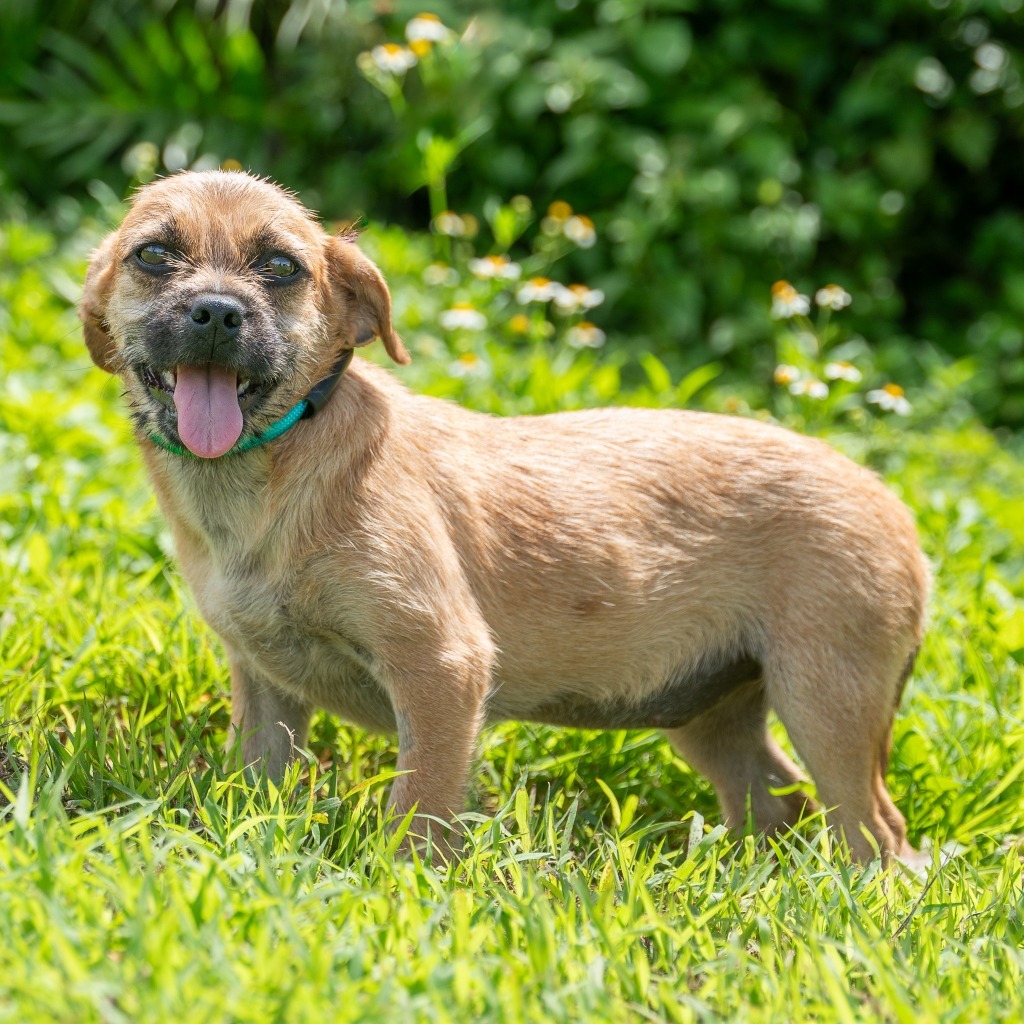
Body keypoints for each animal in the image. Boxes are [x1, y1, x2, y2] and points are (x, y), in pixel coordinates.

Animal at [79, 169, 929, 864]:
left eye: (282, 267)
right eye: (154, 255)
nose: (217, 312)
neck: (274, 471)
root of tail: (892, 503)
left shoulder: (441, 668)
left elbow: (418, 810)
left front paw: (401, 890)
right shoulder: (266, 688)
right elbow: (261, 788)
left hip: (825, 699)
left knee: (880, 834)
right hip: (716, 712)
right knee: (779, 801)